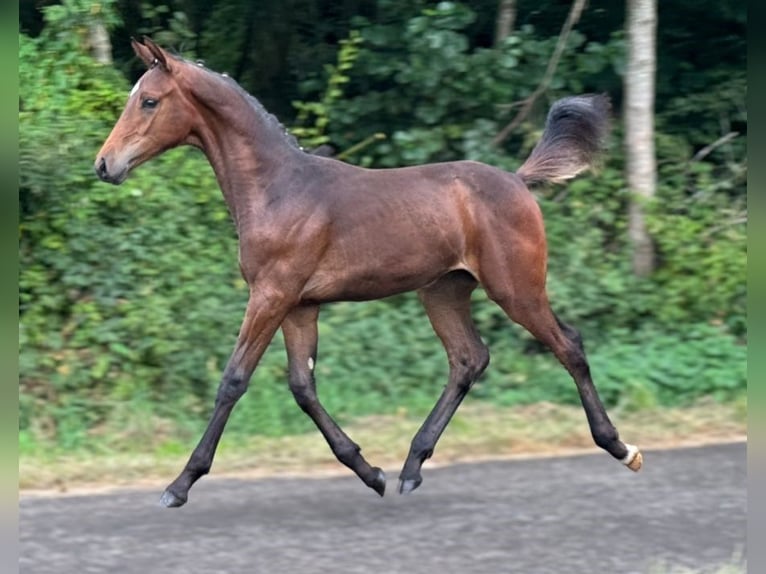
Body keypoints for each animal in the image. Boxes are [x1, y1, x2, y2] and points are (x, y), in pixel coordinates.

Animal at [93, 38, 640, 510]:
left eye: (149, 100)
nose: (104, 165)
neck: (277, 188)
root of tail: (519, 181)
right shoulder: (300, 305)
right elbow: (303, 387)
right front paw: (370, 471)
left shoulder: (271, 294)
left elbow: (234, 380)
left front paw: (179, 484)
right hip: (443, 292)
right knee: (468, 359)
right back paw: (411, 467)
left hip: (517, 289)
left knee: (568, 345)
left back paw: (622, 447)